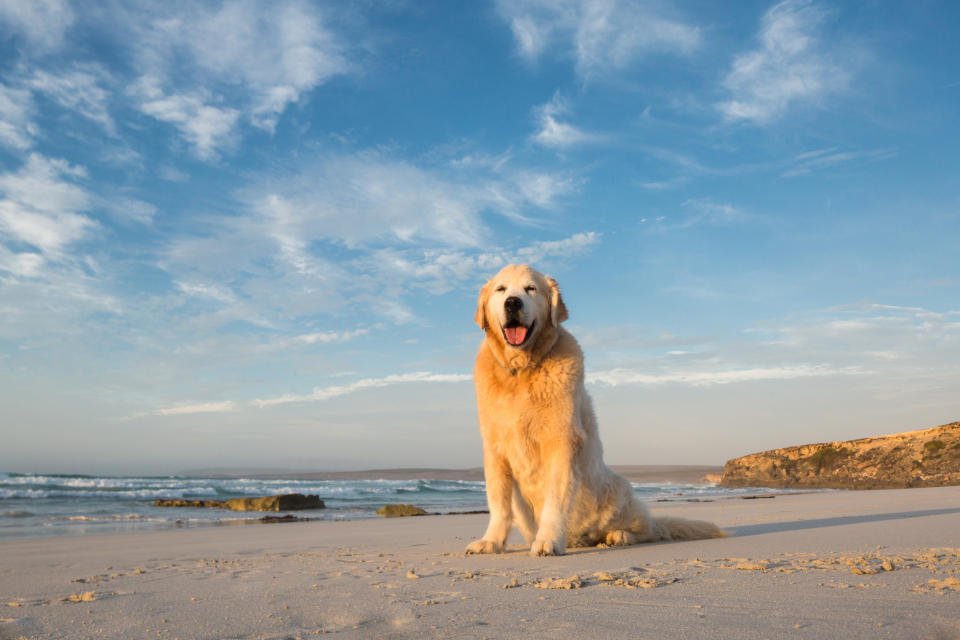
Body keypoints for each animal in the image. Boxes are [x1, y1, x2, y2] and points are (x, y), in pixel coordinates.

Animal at [466, 264, 728, 556]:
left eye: (530, 288)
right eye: (501, 289)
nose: (512, 303)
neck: (521, 370)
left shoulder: (561, 442)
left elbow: (554, 501)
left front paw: (547, 541)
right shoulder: (495, 448)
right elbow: (498, 503)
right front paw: (490, 541)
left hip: (619, 490)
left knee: (650, 529)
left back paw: (619, 536)